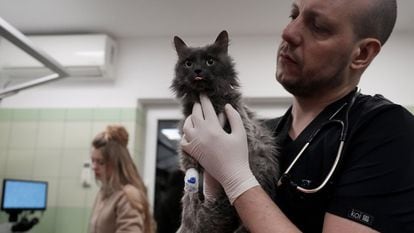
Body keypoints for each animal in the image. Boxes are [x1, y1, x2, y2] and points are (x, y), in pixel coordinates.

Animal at [170, 31, 280, 233]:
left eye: (210, 61)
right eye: (188, 63)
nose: (198, 70)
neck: (207, 99)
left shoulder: (243, 126)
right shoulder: (187, 133)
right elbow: (189, 163)